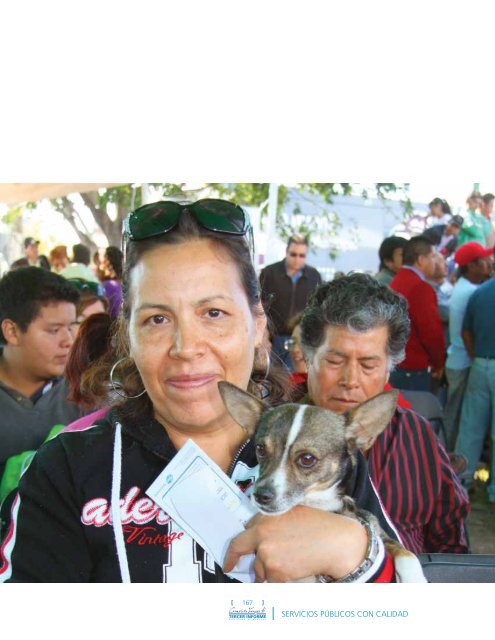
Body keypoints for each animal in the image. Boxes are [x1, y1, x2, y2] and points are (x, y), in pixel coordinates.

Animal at [219, 382, 428, 584]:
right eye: (260, 449)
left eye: (307, 459)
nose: (260, 495)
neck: (317, 505)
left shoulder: (377, 530)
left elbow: (406, 552)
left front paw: (415, 579)